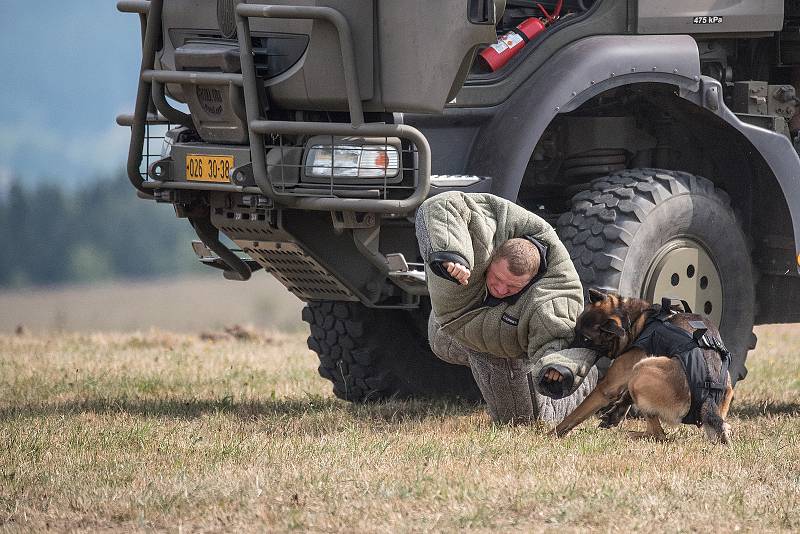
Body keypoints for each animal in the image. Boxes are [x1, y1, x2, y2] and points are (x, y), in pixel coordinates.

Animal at [556, 292, 732, 446]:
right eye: (576, 330)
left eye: (586, 339)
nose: (562, 350)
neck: (634, 320)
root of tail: (708, 398)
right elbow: (626, 396)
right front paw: (616, 413)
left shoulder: (607, 387)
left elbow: (574, 415)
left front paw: (553, 435)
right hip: (728, 390)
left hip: (641, 370)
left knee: (658, 435)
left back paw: (628, 435)